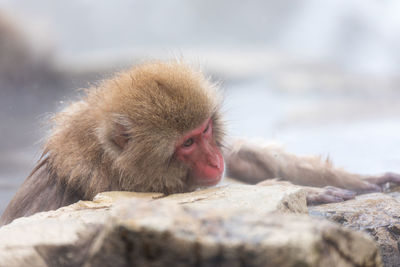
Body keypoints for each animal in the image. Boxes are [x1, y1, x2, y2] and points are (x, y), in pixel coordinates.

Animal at [1, 61, 398, 226]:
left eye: (205, 130)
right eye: (188, 144)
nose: (213, 160)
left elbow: (242, 158)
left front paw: (356, 179)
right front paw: (307, 193)